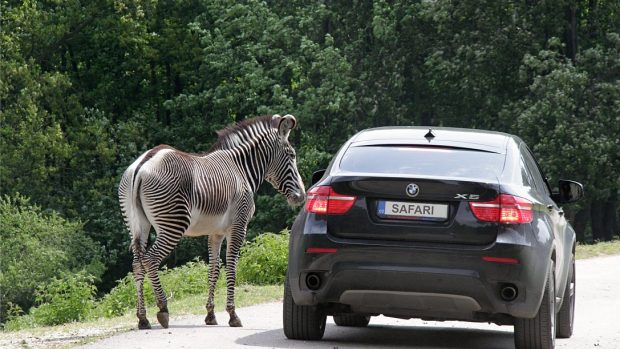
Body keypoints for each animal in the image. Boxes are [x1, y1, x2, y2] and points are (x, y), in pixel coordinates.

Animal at [118, 114, 306, 328]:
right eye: (292, 155)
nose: (302, 196)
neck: (241, 169)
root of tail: (143, 164)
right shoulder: (238, 226)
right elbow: (231, 266)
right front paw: (233, 314)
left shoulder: (215, 232)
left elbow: (213, 270)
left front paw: (210, 315)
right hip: (173, 223)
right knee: (150, 260)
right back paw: (163, 309)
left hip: (137, 224)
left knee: (137, 264)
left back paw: (142, 318)